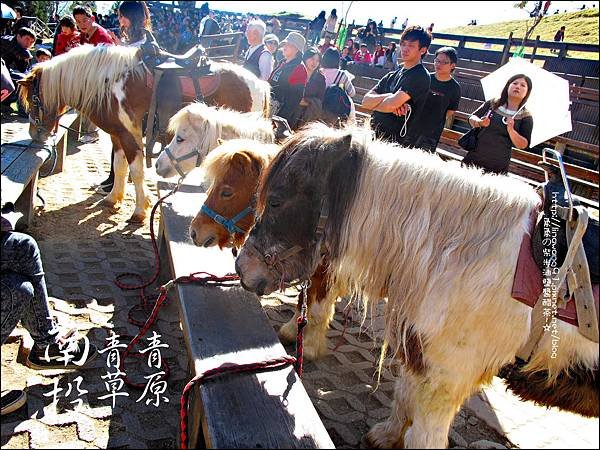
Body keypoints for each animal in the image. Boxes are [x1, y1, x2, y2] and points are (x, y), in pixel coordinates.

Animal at [18, 44, 270, 223]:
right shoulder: (117, 135)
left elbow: (136, 171)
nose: (35, 134)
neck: (110, 83)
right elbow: (119, 167)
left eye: (33, 100)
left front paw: (139, 211)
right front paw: (113, 198)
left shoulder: (131, 135)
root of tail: (260, 84)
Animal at [190, 139, 342, 360]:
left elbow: (319, 307)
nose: (194, 231)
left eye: (227, 192)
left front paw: (311, 346)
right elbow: (303, 300)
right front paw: (293, 330)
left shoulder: (327, 273)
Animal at [236, 122, 600, 446]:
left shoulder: (447, 376)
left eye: (277, 201)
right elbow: (403, 397)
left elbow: (423, 436)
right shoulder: (417, 350)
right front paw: (386, 435)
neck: (461, 253)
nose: (242, 267)